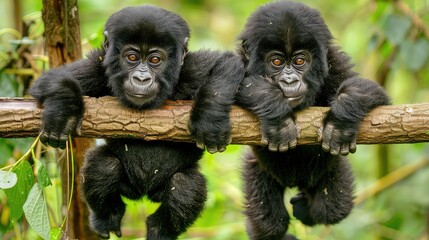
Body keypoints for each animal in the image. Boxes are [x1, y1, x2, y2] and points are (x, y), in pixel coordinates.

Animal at [29, 4, 242, 239]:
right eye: (131, 57)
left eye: (155, 60)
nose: (141, 78)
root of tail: (144, 194)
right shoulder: (97, 67)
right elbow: (54, 78)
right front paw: (62, 112)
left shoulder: (191, 69)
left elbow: (230, 67)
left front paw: (209, 119)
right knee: (104, 165)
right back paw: (108, 216)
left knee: (184, 185)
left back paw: (160, 229)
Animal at [236, 0, 390, 239]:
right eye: (276, 61)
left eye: (300, 60)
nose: (290, 81)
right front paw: (278, 118)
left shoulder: (336, 65)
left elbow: (369, 91)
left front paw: (339, 125)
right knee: (271, 224)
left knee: (330, 209)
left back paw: (305, 208)